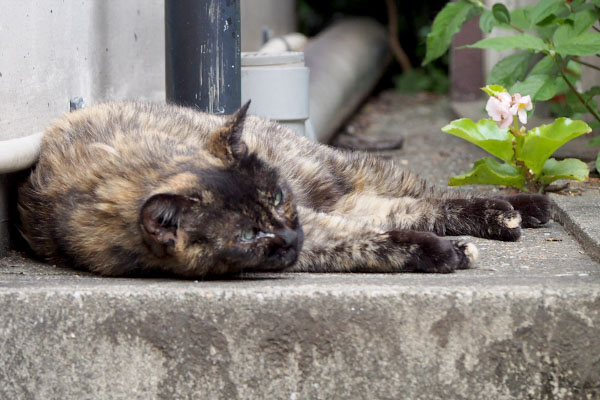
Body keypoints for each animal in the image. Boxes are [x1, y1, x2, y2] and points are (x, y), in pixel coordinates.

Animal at [17, 101, 552, 276]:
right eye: (248, 236)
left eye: (276, 198)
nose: (291, 237)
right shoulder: (317, 238)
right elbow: (368, 242)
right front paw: (441, 253)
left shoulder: (308, 219)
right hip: (345, 199)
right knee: (403, 210)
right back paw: (502, 219)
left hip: (341, 171)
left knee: (426, 194)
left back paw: (522, 206)